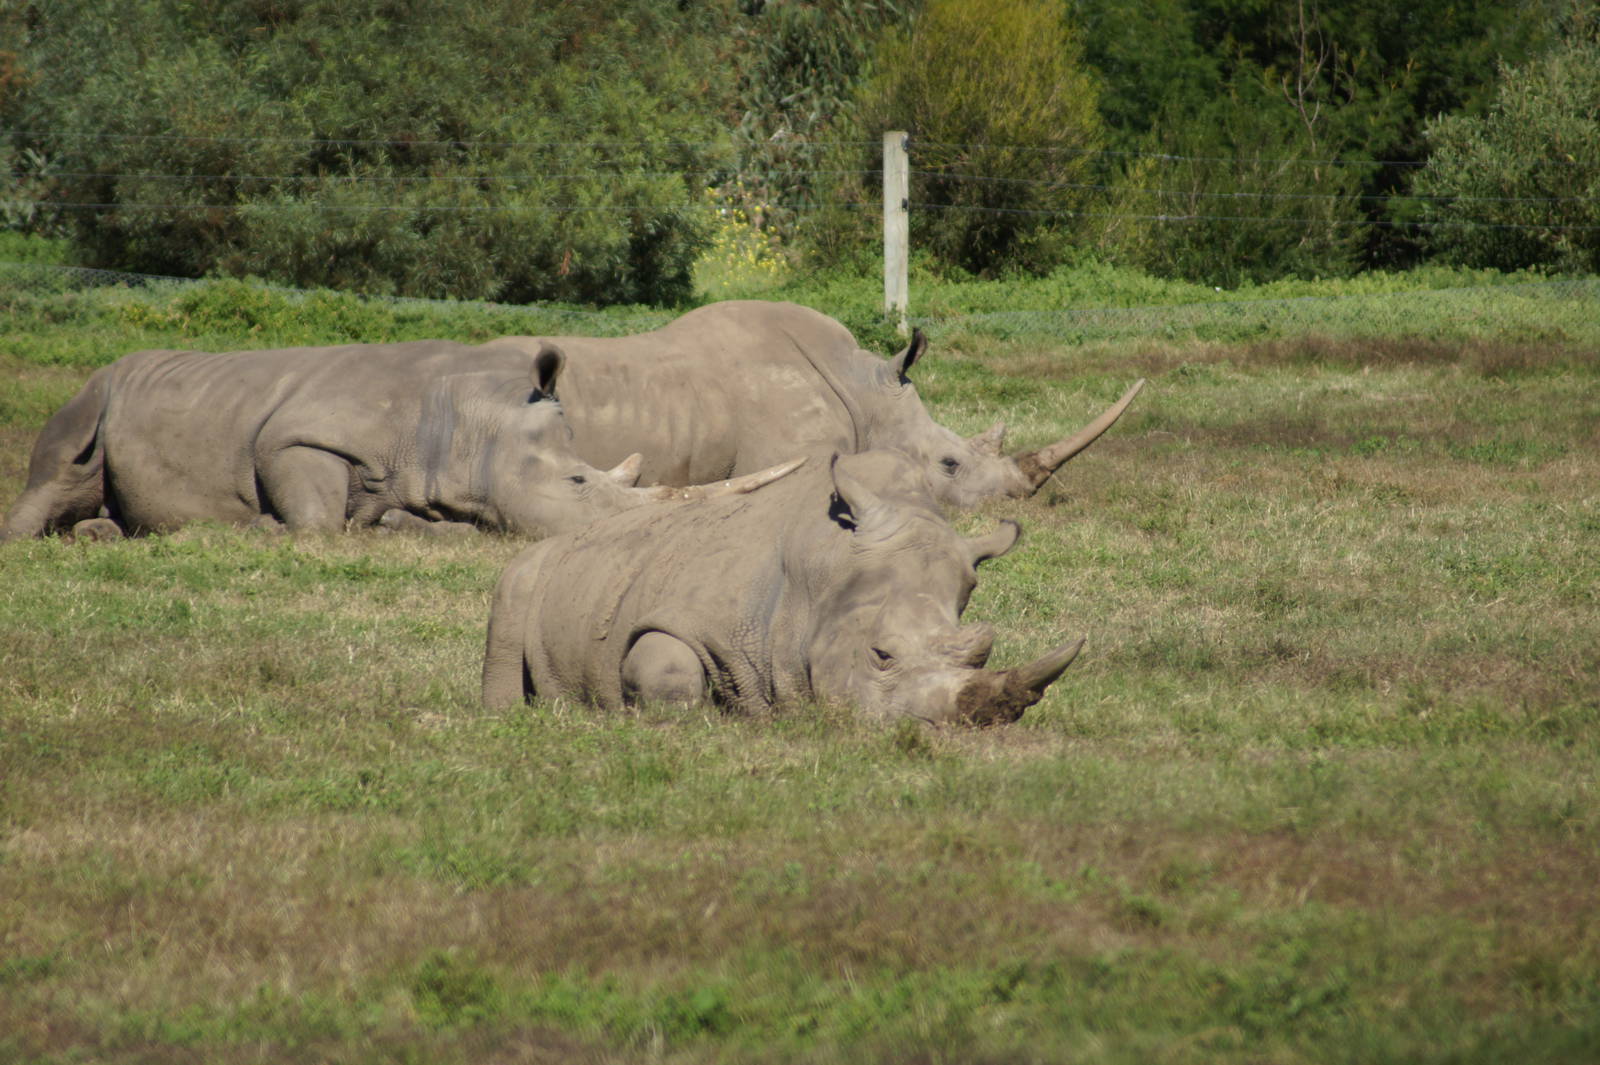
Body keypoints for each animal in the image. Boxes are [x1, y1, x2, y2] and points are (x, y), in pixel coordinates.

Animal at [0, 339, 796, 542]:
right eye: (578, 483)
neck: (467, 421)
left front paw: (402, 529)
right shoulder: (297, 437)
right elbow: (315, 516)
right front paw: (266, 528)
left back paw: (104, 534)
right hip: (94, 394)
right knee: (63, 464)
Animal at [482, 448, 1084, 723]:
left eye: (983, 654)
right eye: (881, 655)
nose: (957, 729)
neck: (820, 571)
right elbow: (667, 668)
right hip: (532, 567)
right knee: (512, 601)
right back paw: (507, 715)